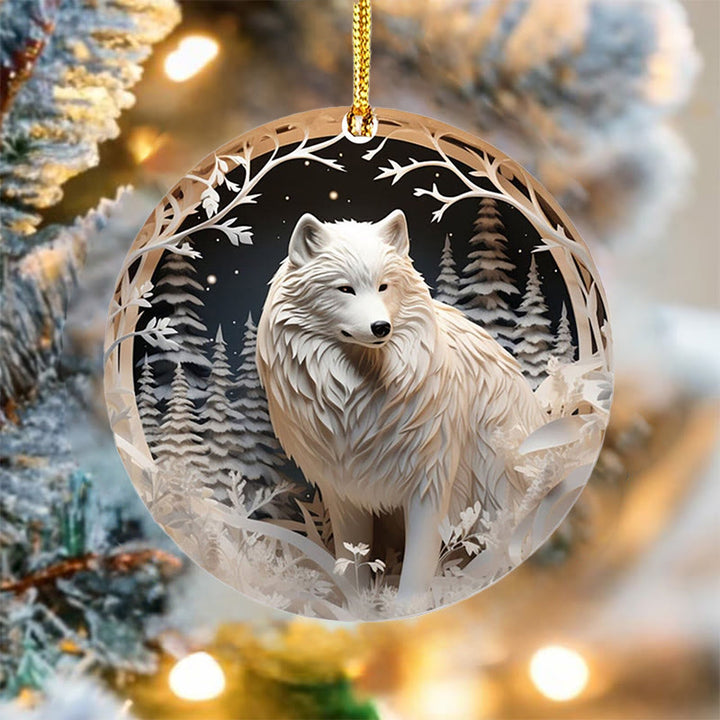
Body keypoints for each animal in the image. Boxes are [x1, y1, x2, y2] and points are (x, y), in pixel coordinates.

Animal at [256, 209, 546, 600]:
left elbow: (418, 565)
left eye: (384, 286)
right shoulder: (343, 489)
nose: (381, 327)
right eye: (345, 289)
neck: (356, 401)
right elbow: (352, 558)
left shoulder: (431, 482)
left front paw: (405, 607)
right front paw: (357, 604)